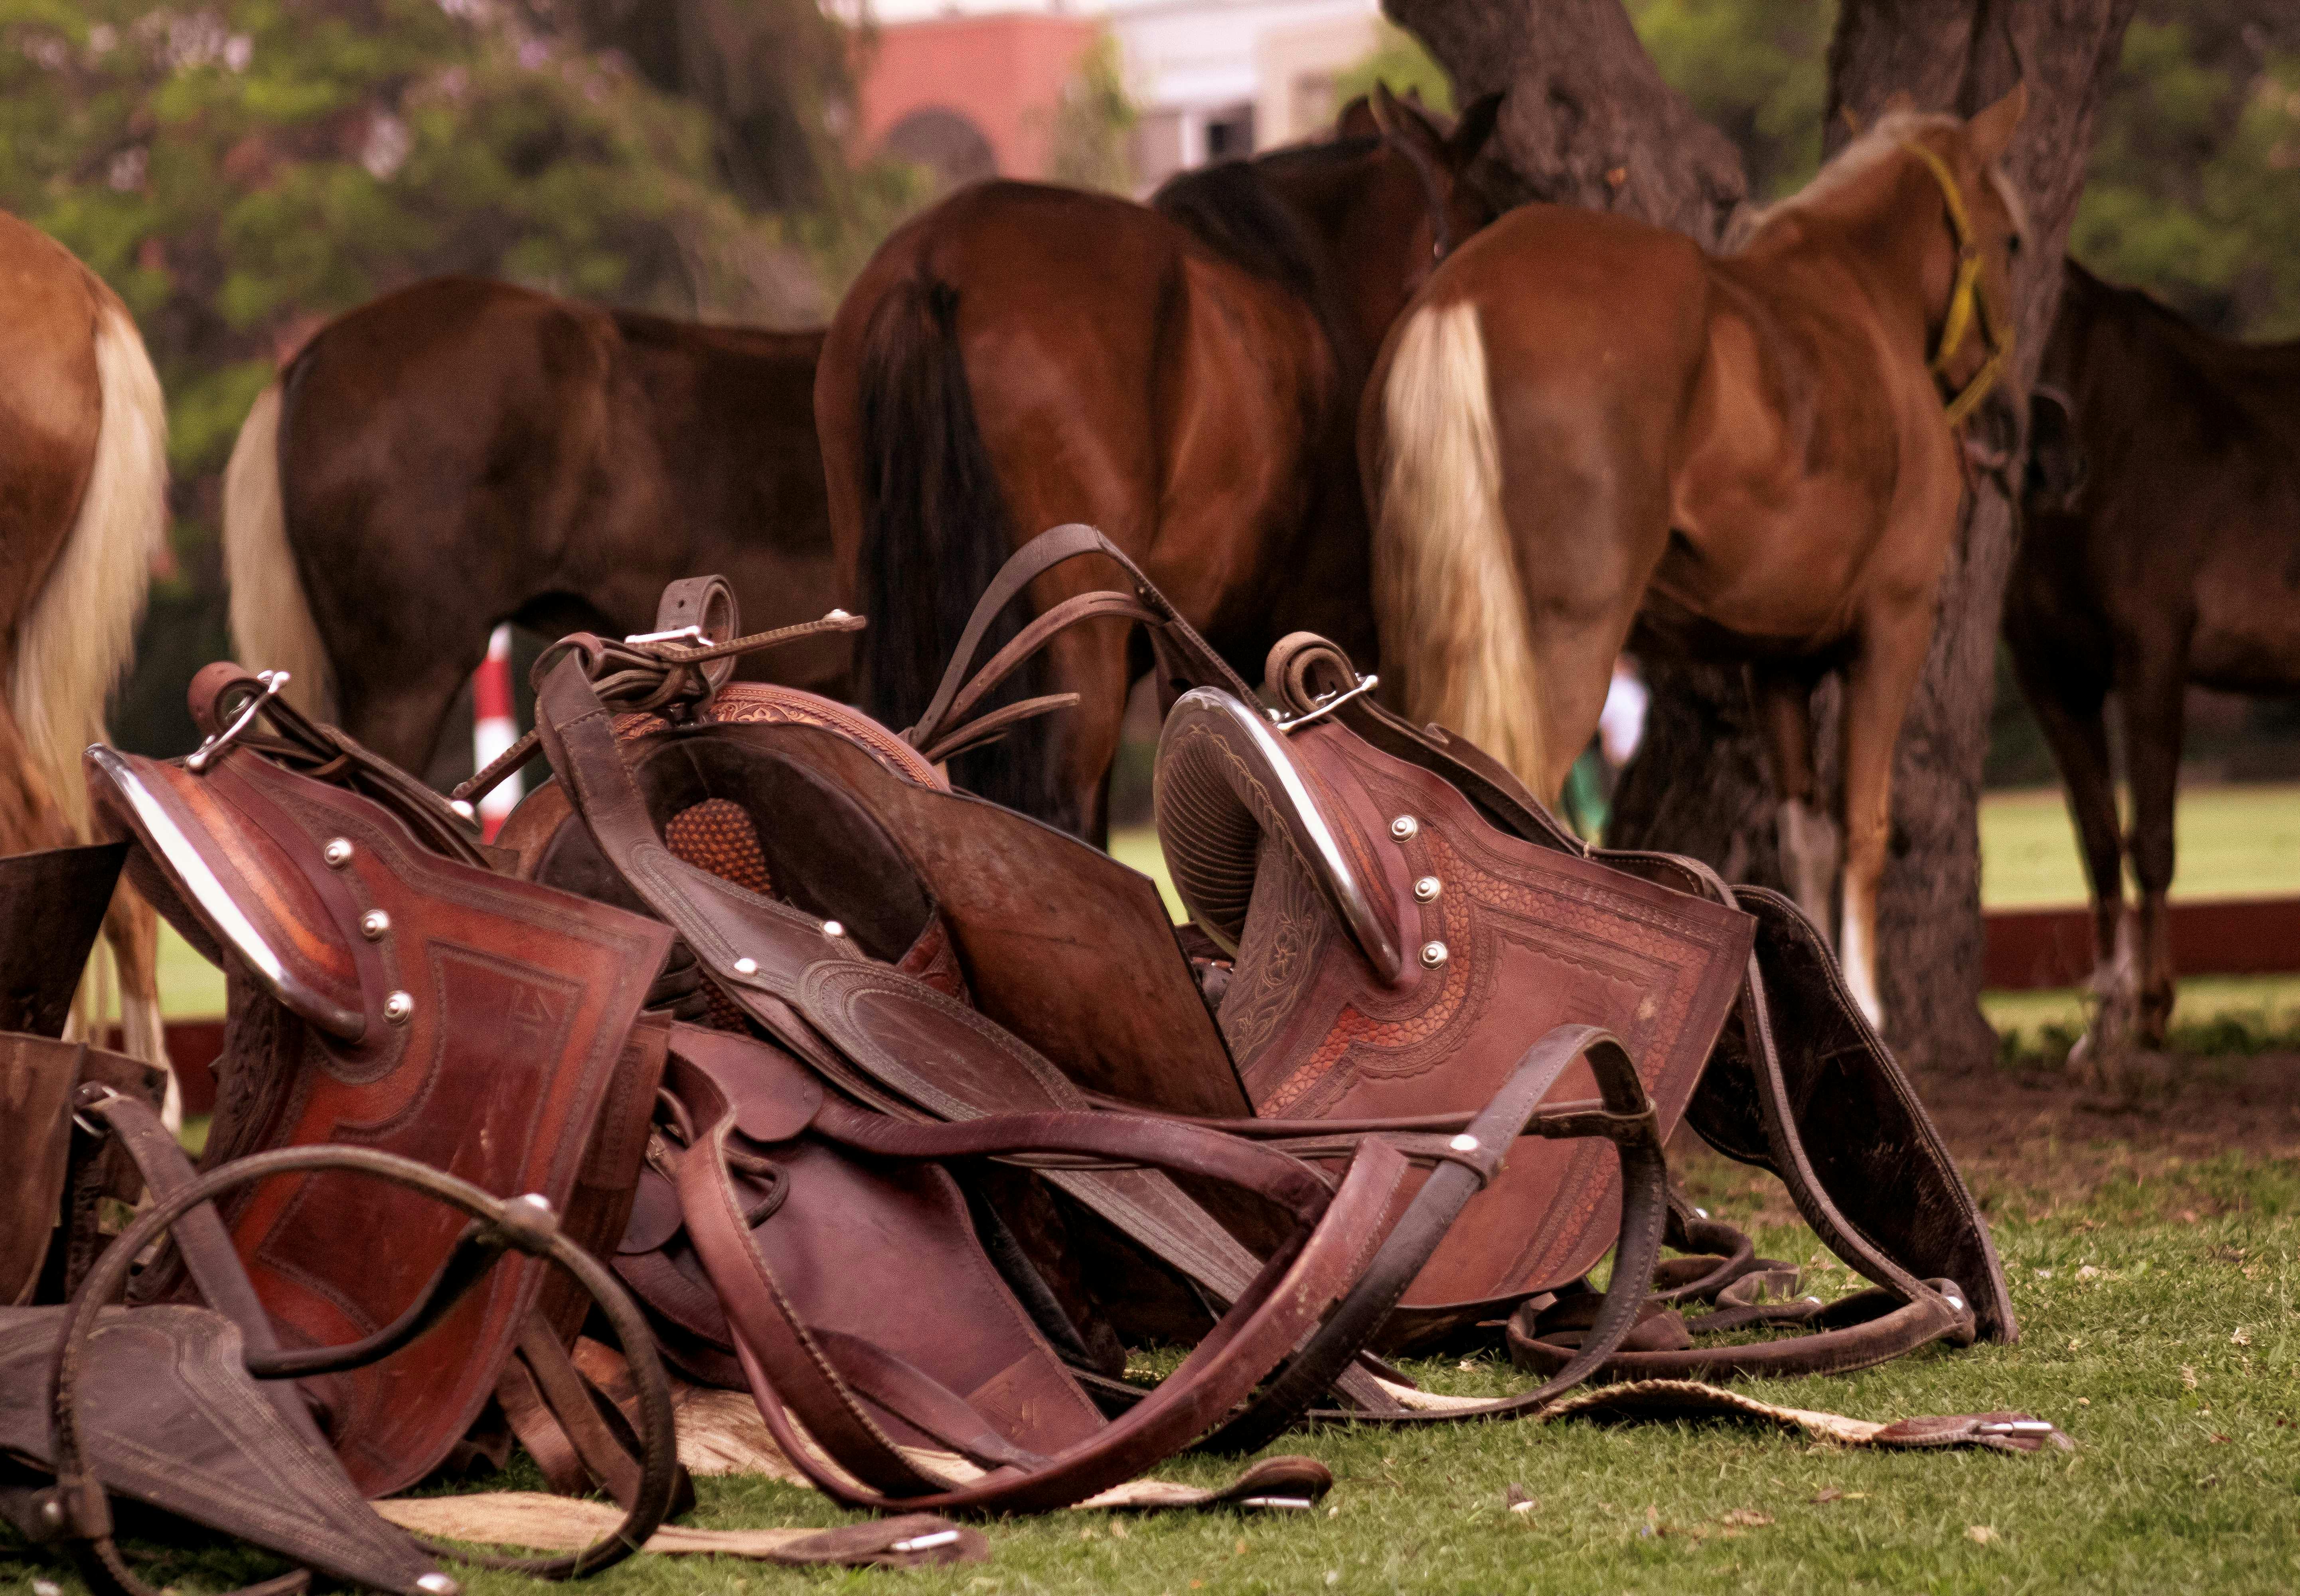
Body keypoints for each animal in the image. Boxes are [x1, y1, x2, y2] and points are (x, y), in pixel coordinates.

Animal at [1363, 88, 2029, 1029]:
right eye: (2009, 240)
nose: (2009, 424)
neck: (1861, 299)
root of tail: (1460, 292)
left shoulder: (1775, 660)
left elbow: (1805, 832)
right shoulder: (1893, 626)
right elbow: (1865, 824)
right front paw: (1867, 1007)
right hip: (1562, 650)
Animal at [2010, 259, 2300, 1062]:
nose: (2055, 467)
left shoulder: (2153, 658)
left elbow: (2153, 842)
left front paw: (2150, 1014)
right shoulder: (2053, 680)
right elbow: (2100, 843)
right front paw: (2101, 1027)